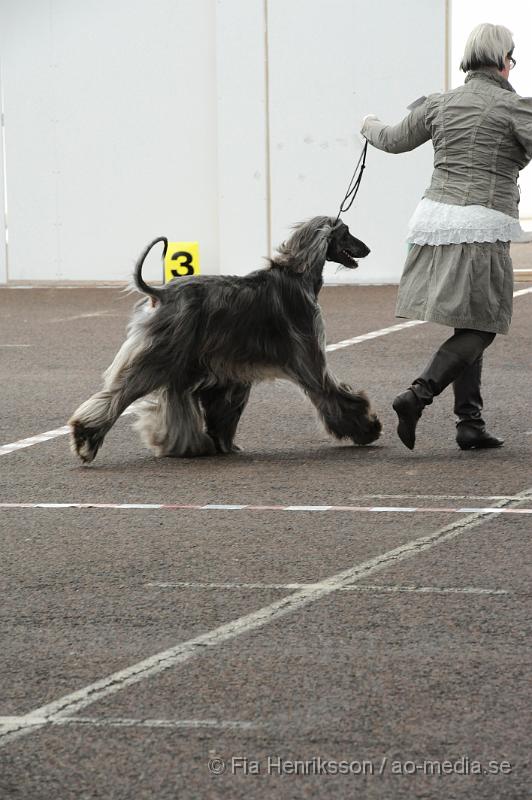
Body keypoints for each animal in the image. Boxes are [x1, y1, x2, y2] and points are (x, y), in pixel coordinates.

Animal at [67, 216, 382, 462]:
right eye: (347, 232)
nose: (367, 249)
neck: (297, 276)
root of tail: (162, 293)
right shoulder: (308, 359)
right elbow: (334, 394)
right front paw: (367, 428)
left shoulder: (228, 369)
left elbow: (223, 408)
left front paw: (222, 443)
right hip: (160, 355)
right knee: (118, 394)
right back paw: (85, 439)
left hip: (181, 361)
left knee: (174, 401)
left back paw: (186, 445)